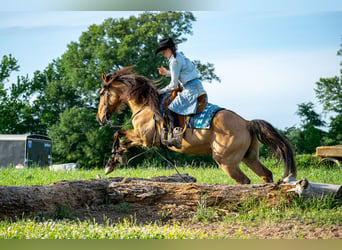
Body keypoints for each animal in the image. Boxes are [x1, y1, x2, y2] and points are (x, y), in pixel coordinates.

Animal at [96, 66, 296, 184]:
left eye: (101, 93)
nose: (100, 118)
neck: (145, 104)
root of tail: (247, 123)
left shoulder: (143, 138)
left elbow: (118, 134)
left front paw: (113, 161)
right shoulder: (142, 139)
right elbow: (121, 138)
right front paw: (114, 161)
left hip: (227, 162)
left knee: (245, 181)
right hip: (250, 157)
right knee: (266, 174)